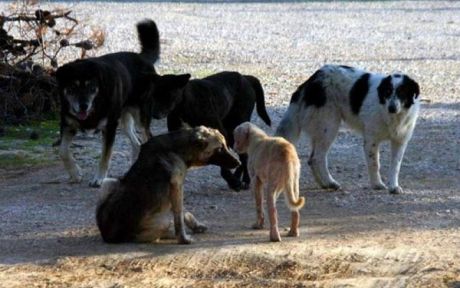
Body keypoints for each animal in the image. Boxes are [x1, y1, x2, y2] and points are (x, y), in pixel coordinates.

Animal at [56, 19, 190, 188]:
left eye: (91, 88)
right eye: (72, 88)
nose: (83, 106)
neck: (95, 105)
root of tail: (142, 58)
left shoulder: (109, 127)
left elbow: (105, 156)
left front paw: (99, 178)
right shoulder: (68, 124)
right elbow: (62, 151)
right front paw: (75, 173)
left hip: (140, 117)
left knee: (147, 138)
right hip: (124, 119)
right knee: (137, 144)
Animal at [97, 127, 241, 244]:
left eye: (225, 145)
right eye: (219, 149)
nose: (239, 163)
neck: (178, 148)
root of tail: (108, 236)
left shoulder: (175, 190)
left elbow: (182, 212)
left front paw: (195, 225)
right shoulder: (177, 186)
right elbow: (179, 216)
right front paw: (183, 238)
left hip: (109, 182)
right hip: (162, 222)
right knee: (154, 235)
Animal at [276, 65, 420, 195]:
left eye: (402, 93)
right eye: (387, 92)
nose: (392, 108)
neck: (393, 116)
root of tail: (311, 81)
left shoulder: (400, 141)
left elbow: (395, 166)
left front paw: (393, 187)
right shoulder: (371, 141)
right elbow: (374, 164)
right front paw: (377, 184)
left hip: (321, 129)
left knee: (312, 159)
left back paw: (324, 184)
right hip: (329, 126)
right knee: (317, 158)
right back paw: (330, 182)